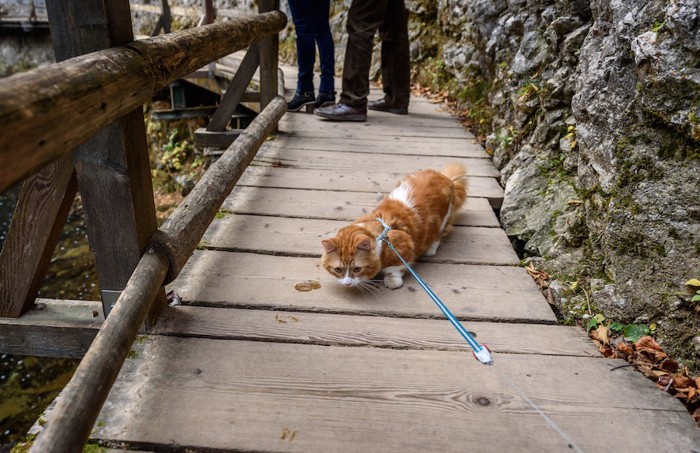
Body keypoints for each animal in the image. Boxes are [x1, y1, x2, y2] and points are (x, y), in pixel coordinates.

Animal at [324, 164, 470, 288]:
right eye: (338, 269)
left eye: (357, 269)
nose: (347, 284)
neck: (381, 237)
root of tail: (446, 178)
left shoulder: (405, 251)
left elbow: (394, 270)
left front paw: (391, 281)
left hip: (443, 220)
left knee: (438, 236)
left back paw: (431, 249)